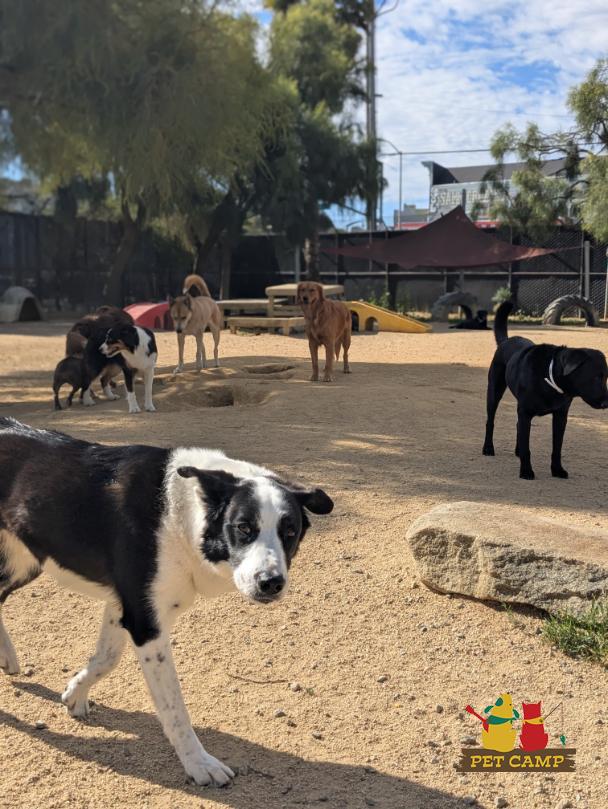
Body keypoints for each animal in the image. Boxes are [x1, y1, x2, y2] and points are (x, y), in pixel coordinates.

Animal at [0, 418, 333, 786]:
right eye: (243, 527)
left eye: (290, 531)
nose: (271, 583)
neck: (180, 515)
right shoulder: (146, 623)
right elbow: (175, 708)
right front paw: (199, 763)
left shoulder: (127, 605)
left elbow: (107, 659)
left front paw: (75, 693)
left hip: (24, 564)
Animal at [482, 301, 608, 479]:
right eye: (596, 377)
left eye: (605, 377)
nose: (606, 403)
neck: (549, 378)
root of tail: (506, 340)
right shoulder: (525, 412)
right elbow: (527, 448)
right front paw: (526, 471)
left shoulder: (560, 416)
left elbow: (557, 448)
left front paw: (557, 469)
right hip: (494, 391)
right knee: (490, 421)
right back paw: (488, 448)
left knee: (517, 426)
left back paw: (517, 450)